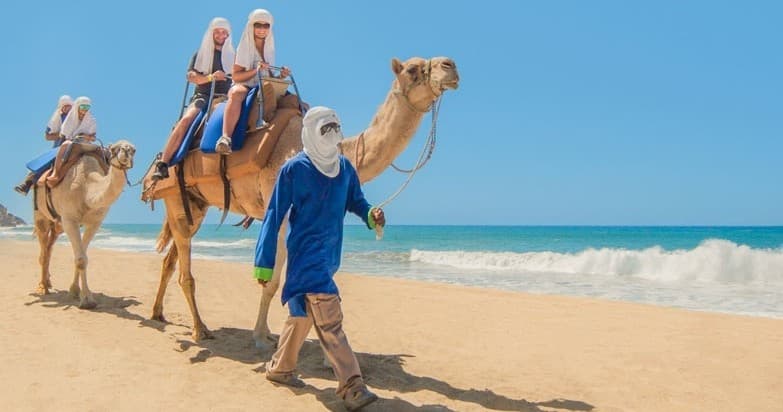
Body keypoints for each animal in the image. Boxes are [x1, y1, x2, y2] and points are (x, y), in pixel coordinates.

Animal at [33, 140, 136, 309]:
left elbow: (81, 256)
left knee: (50, 246)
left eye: (134, 150)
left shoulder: (94, 222)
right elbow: (81, 259)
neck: (87, 188)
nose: (126, 151)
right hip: (40, 214)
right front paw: (87, 300)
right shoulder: (69, 219)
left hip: (57, 225)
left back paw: (48, 282)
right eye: (114, 148)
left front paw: (76, 291)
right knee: (43, 249)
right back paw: (42, 287)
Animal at [144, 56, 459, 344]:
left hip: (195, 206)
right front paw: (261, 335)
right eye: (412, 69)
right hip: (176, 197)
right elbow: (272, 281)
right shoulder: (282, 212)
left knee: (171, 258)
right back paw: (200, 329)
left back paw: (159, 313)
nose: (450, 66)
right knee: (185, 268)